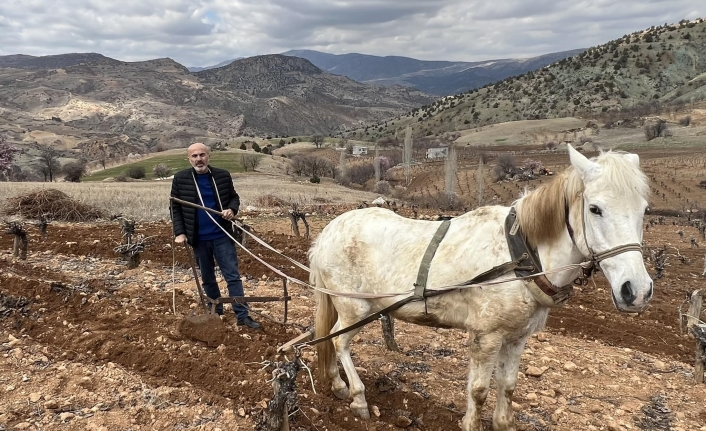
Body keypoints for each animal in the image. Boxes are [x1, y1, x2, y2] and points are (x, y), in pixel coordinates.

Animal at [310, 146, 652, 431]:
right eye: (595, 209)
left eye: (645, 210)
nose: (636, 291)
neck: (522, 255)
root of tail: (327, 232)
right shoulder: (486, 337)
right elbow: (479, 390)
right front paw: (471, 423)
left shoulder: (517, 337)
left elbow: (509, 385)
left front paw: (504, 423)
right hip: (354, 307)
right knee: (339, 342)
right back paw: (356, 396)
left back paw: (336, 384)